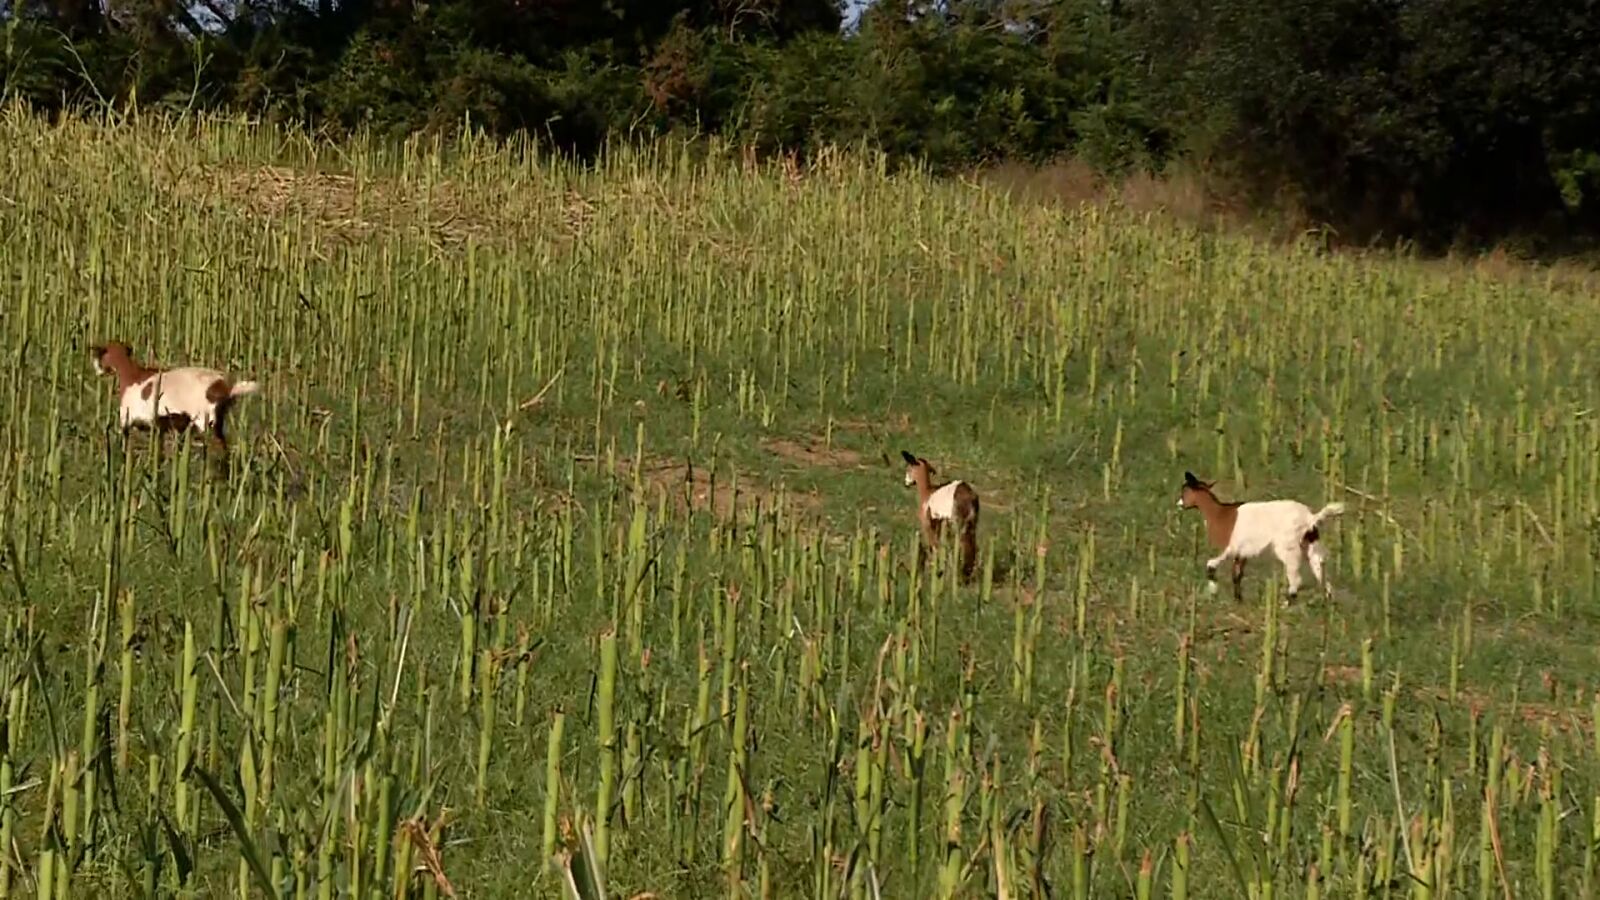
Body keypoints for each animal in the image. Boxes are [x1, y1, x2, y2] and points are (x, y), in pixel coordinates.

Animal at [901, 450, 981, 583]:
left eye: (909, 468)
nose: (906, 483)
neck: (927, 493)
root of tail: (971, 496)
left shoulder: (927, 524)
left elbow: (933, 546)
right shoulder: (939, 524)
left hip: (959, 524)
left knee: (962, 545)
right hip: (972, 523)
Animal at [1176, 471, 1345, 601]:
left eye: (1185, 491)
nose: (1179, 504)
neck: (1219, 514)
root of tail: (1310, 517)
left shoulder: (1230, 547)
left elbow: (1211, 565)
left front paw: (1213, 592)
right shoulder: (1242, 552)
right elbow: (1237, 575)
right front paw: (1238, 599)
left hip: (1288, 546)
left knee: (1296, 578)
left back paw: (1285, 604)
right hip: (1310, 543)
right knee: (1320, 568)